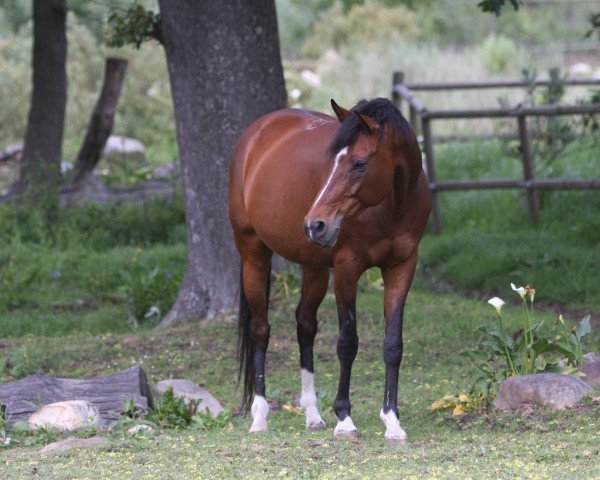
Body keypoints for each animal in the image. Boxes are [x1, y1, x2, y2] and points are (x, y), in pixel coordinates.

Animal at [230, 96, 432, 442]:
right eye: (332, 162)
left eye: (359, 163)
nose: (316, 224)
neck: (393, 205)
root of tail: (257, 132)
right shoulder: (347, 268)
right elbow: (347, 342)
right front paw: (345, 418)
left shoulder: (402, 267)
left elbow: (393, 344)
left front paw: (392, 421)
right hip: (253, 253)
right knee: (260, 330)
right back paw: (259, 417)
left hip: (313, 266)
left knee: (305, 327)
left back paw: (312, 414)